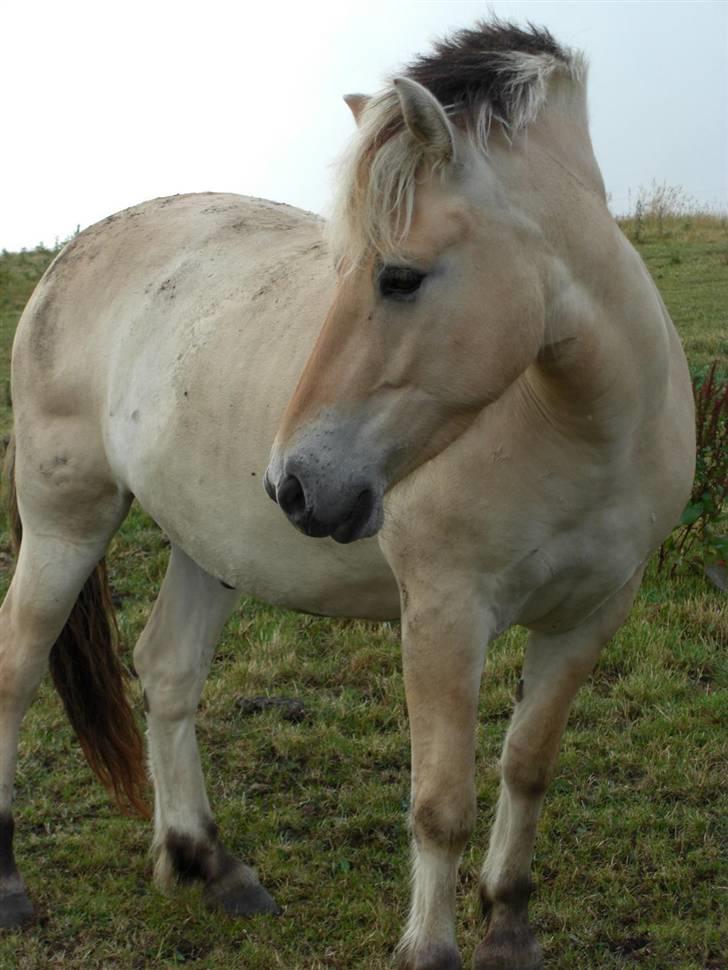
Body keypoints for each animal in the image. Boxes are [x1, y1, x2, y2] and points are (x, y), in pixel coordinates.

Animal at [0, 17, 692, 968]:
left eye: (397, 276)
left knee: (168, 669)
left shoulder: (592, 614)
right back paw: (10, 885)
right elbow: (440, 803)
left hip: (206, 544)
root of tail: (76, 248)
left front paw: (508, 921)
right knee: (17, 665)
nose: (292, 484)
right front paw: (431, 949)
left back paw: (205, 862)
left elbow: (527, 766)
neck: (585, 427)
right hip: (65, 521)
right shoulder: (443, 614)